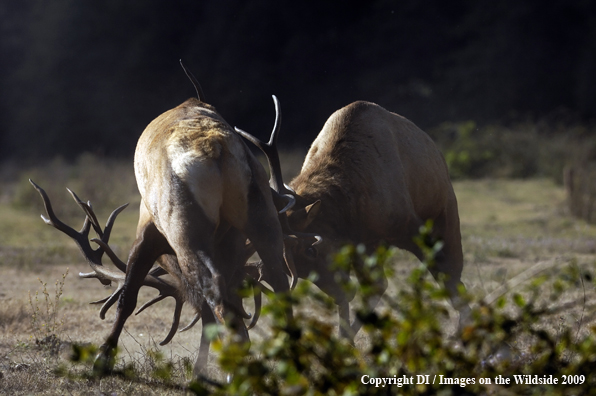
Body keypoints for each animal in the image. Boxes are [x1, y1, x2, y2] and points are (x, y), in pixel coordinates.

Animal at [29, 63, 300, 376]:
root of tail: (216, 147)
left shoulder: (147, 228)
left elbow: (128, 296)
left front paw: (102, 358)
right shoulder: (232, 243)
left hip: (184, 226)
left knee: (214, 287)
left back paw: (236, 364)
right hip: (260, 214)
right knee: (279, 282)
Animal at [237, 101, 470, 340]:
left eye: (311, 250)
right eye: (296, 271)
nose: (342, 295)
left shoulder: (410, 227)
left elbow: (445, 275)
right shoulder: (358, 244)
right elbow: (375, 286)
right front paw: (344, 336)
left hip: (446, 215)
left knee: (455, 270)